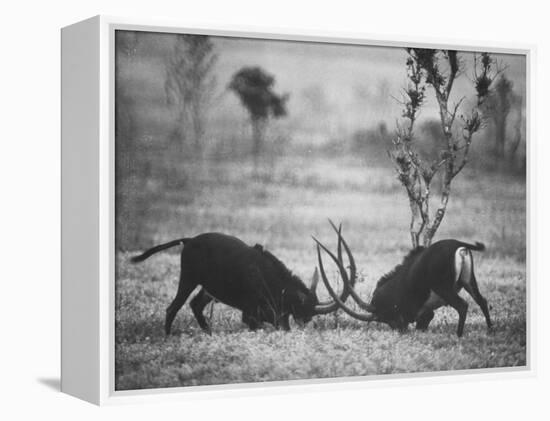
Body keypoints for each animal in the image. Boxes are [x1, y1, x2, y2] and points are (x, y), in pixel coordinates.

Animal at [132, 228, 356, 334]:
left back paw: (209, 334)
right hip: (188, 278)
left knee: (195, 305)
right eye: (304, 308)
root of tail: (188, 241)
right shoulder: (251, 316)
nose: (306, 323)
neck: (269, 276)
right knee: (173, 307)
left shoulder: (275, 316)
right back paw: (169, 337)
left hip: (208, 289)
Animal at [314, 221, 496, 336]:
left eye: (385, 316)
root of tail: (457, 244)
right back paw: (490, 330)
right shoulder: (425, 312)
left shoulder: (417, 312)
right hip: (468, 281)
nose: (399, 329)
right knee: (482, 301)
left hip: (444, 288)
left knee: (463, 306)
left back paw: (459, 335)